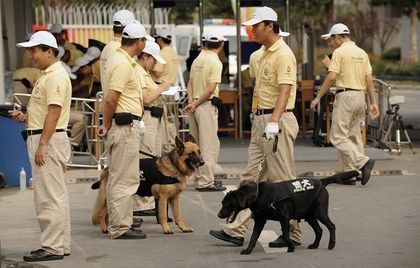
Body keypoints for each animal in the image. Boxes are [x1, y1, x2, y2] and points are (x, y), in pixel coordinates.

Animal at [218, 171, 360, 254]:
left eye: (227, 203)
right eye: (222, 203)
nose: (219, 215)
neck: (258, 195)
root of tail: (321, 181)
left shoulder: (284, 218)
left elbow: (286, 235)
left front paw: (291, 247)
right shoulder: (260, 220)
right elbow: (253, 237)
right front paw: (248, 250)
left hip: (320, 212)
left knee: (332, 226)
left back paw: (331, 244)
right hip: (309, 215)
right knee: (319, 230)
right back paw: (315, 245)